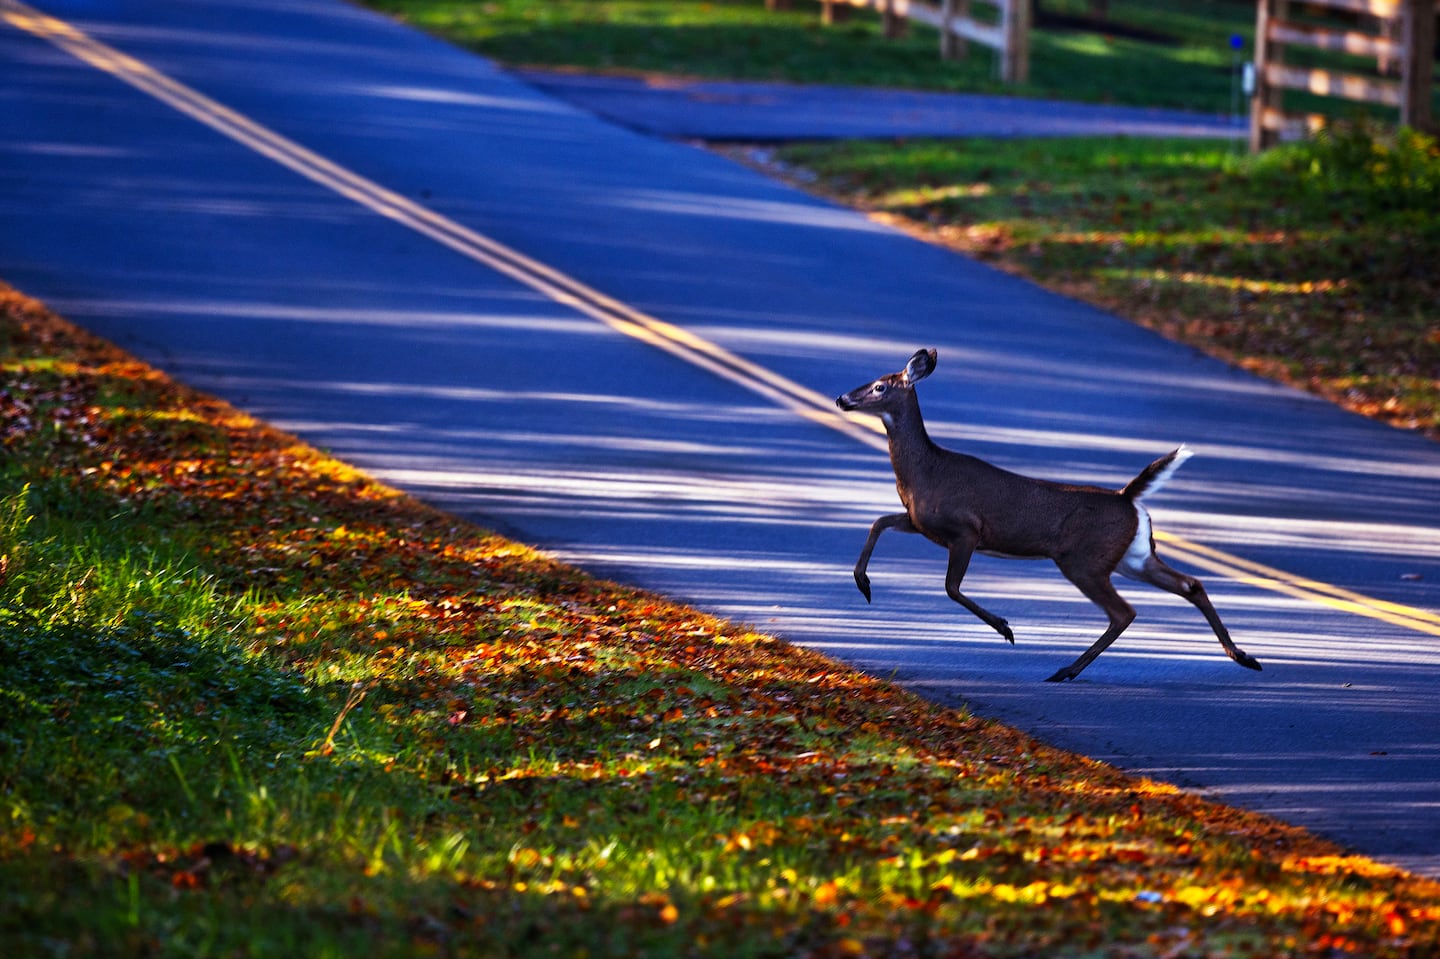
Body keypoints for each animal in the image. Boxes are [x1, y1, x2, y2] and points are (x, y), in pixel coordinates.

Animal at [835, 349, 1261, 679]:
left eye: (880, 386)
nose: (841, 398)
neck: (924, 472)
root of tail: (1128, 498)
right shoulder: (923, 523)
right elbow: (879, 522)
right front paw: (863, 583)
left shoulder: (967, 529)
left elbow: (950, 587)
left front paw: (1005, 628)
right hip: (1132, 555)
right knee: (1190, 584)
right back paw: (1243, 656)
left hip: (1084, 560)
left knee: (1124, 611)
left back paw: (1067, 670)